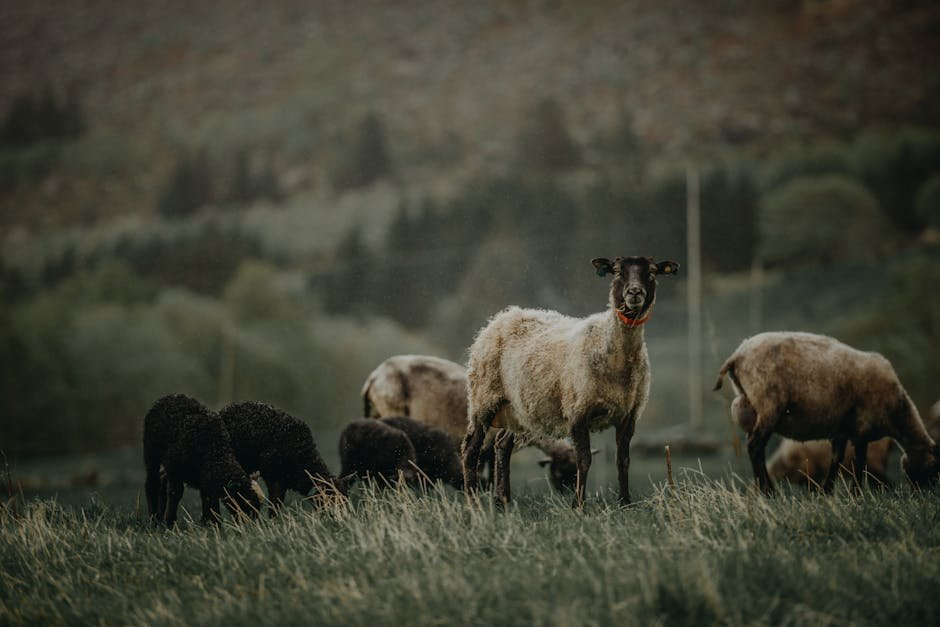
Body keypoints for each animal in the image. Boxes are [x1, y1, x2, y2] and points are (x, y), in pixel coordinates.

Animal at [143, 394, 260, 526]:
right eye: (244, 501)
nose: (250, 527)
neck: (214, 450)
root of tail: (170, 396)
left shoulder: (205, 477)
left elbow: (208, 496)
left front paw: (212, 523)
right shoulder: (174, 468)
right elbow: (175, 493)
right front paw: (170, 523)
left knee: (162, 481)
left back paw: (159, 516)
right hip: (151, 454)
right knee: (152, 483)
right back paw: (153, 518)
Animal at [462, 255, 680, 507]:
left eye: (652, 272)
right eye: (616, 271)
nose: (634, 292)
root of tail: (501, 317)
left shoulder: (629, 415)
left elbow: (623, 460)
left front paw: (625, 503)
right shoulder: (578, 410)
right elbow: (584, 460)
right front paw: (578, 506)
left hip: (517, 409)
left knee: (502, 444)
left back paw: (503, 500)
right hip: (482, 398)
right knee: (470, 449)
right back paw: (473, 502)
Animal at [714, 331, 940, 494]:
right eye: (935, 470)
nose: (924, 494)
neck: (898, 411)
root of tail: (737, 355)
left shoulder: (841, 431)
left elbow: (836, 459)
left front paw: (827, 492)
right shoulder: (862, 429)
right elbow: (859, 463)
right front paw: (857, 494)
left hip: (753, 404)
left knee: (755, 446)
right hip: (769, 403)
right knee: (755, 446)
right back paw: (769, 492)